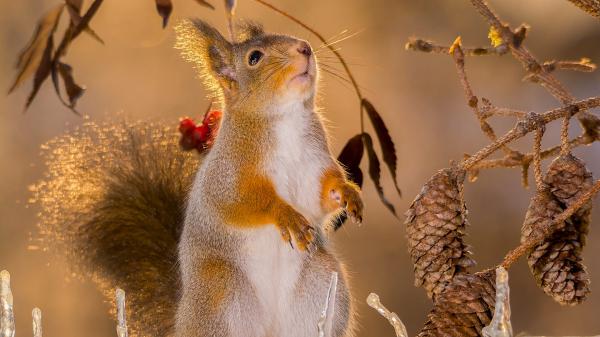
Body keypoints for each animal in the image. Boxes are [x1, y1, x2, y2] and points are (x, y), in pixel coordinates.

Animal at [35, 19, 364, 336]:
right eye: (254, 58)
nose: (305, 48)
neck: (286, 119)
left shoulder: (314, 164)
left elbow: (323, 196)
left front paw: (348, 193)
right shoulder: (228, 174)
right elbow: (242, 201)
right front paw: (285, 214)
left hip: (321, 282)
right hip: (221, 294)